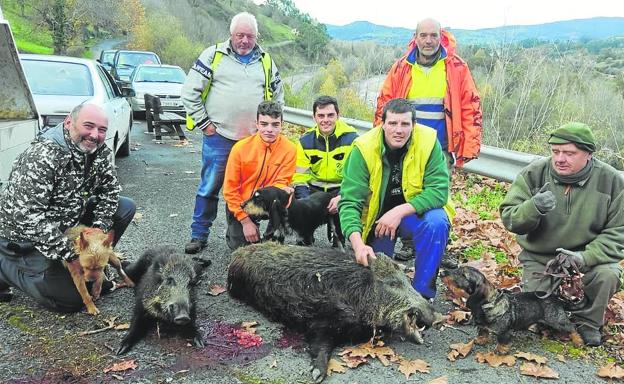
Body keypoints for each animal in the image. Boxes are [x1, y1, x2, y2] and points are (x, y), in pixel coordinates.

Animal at [442, 266, 584, 352]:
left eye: (463, 275)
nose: (442, 272)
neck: (488, 304)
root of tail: (556, 297)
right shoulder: (482, 326)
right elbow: (483, 332)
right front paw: (480, 340)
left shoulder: (504, 332)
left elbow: (502, 341)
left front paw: (501, 351)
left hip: (557, 320)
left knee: (572, 328)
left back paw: (578, 341)